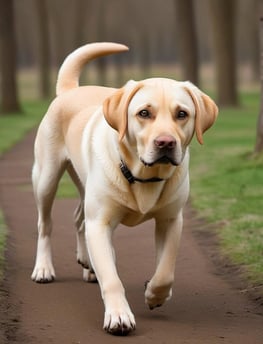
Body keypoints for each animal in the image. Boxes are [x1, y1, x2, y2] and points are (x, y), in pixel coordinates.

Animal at [32, 43, 219, 336]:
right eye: (144, 113)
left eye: (182, 114)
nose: (166, 142)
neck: (143, 177)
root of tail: (70, 90)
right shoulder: (101, 222)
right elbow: (112, 277)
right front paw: (119, 315)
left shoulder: (171, 220)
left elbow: (165, 270)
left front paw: (155, 294)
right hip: (46, 177)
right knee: (45, 224)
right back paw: (43, 268)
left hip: (84, 186)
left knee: (78, 218)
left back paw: (87, 264)